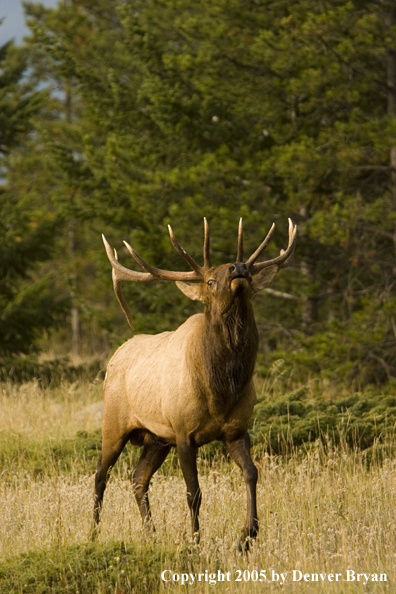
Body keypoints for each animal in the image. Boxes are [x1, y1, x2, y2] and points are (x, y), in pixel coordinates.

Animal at [94, 216, 296, 544]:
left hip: (156, 439)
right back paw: (93, 534)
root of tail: (114, 357)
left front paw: (248, 535)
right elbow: (194, 492)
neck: (220, 392)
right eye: (210, 281)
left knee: (137, 477)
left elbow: (252, 473)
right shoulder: (183, 431)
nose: (238, 267)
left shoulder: (237, 429)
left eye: (250, 276)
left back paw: (151, 534)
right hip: (115, 423)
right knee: (101, 474)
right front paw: (195, 542)